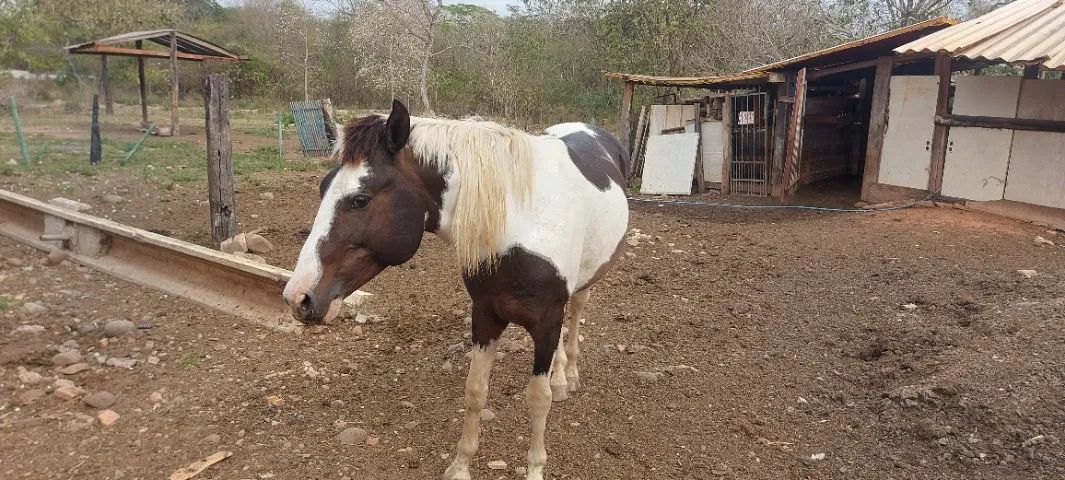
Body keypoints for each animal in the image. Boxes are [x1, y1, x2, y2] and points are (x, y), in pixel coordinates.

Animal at [283, 100, 630, 480]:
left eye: (359, 199)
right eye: (322, 186)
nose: (298, 296)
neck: (520, 223)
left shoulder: (546, 321)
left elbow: (538, 399)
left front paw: (535, 468)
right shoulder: (486, 315)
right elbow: (475, 391)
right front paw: (461, 466)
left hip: (585, 282)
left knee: (576, 313)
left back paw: (568, 375)